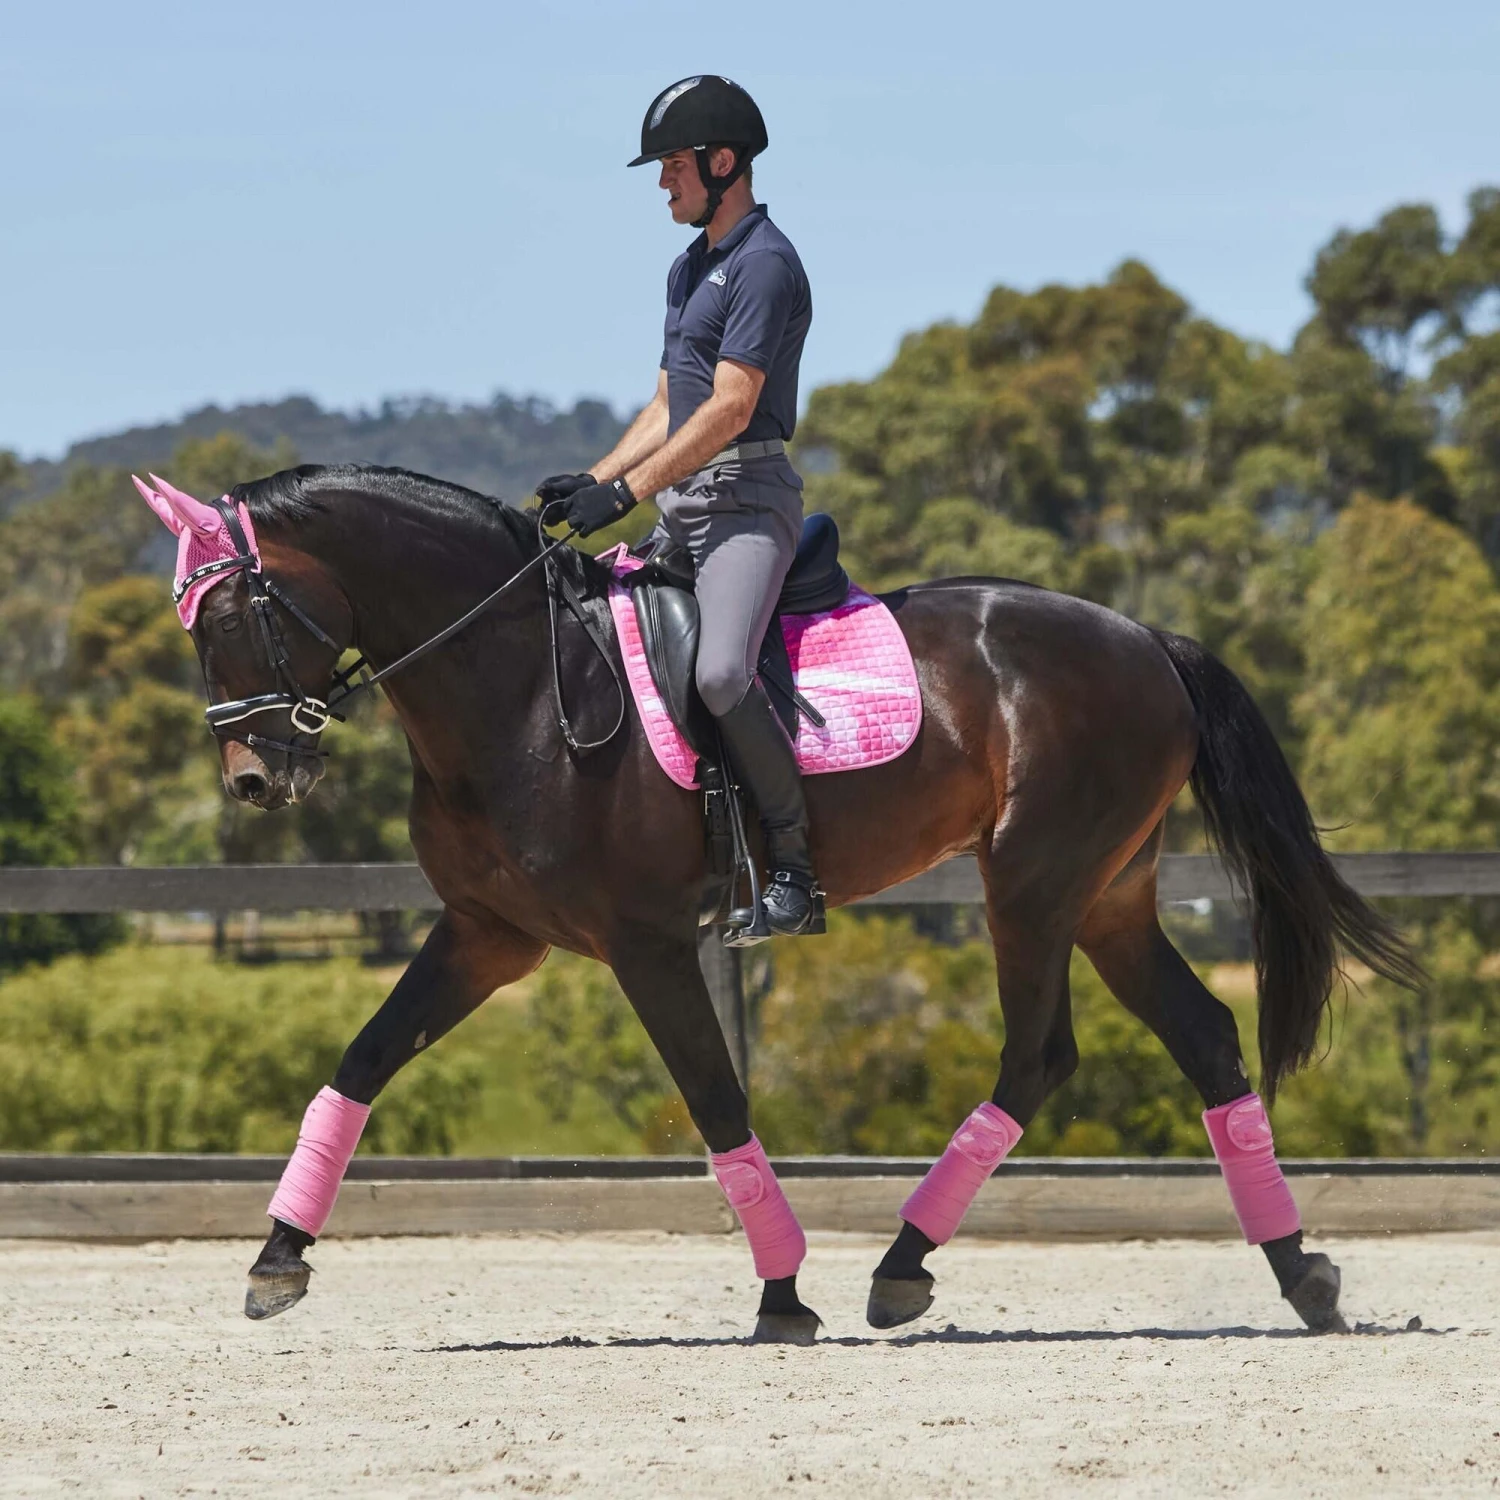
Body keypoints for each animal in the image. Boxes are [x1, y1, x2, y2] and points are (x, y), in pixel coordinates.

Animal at [134, 461, 1419, 1344]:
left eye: (232, 615)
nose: (254, 781)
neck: (516, 688)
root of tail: (1146, 637)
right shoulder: (485, 937)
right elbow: (359, 1062)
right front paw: (278, 1257)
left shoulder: (646, 945)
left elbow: (714, 1101)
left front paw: (784, 1290)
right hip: (1109, 895)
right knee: (1203, 1036)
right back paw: (1303, 1274)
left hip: (1035, 882)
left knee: (1039, 1055)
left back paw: (900, 1266)